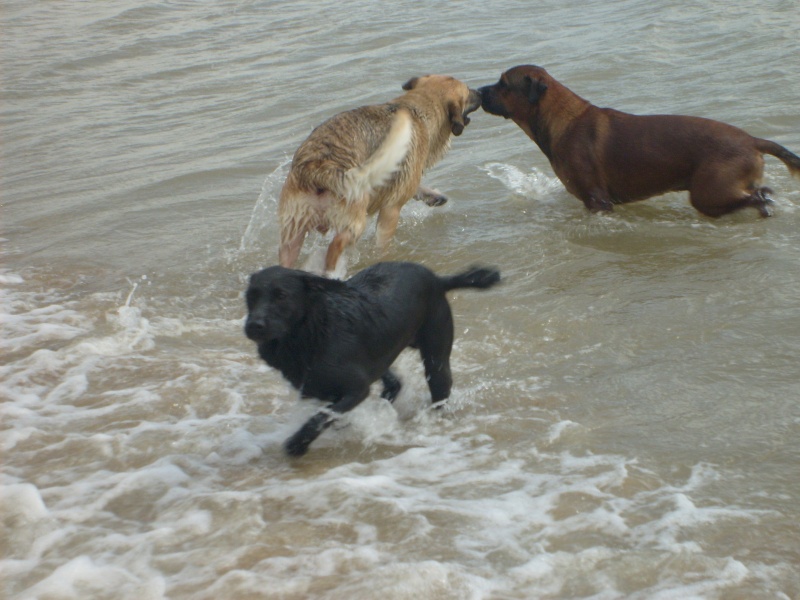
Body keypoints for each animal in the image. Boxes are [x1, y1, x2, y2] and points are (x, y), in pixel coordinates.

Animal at [244, 262, 500, 454]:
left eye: (281, 296)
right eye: (250, 296)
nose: (253, 326)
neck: (312, 333)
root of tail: (438, 279)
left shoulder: (356, 390)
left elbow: (320, 418)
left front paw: (297, 444)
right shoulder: (317, 390)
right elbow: (327, 414)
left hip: (436, 357)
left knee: (438, 389)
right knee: (394, 382)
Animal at [282, 75, 482, 272]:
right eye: (468, 91)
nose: (481, 92)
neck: (415, 109)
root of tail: (316, 169)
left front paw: (433, 196)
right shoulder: (391, 210)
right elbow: (383, 245)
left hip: (292, 233)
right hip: (355, 219)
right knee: (336, 245)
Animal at [478, 66, 796, 216]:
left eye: (503, 84)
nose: (479, 92)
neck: (561, 119)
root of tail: (753, 140)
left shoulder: (597, 200)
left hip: (708, 194)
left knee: (755, 199)